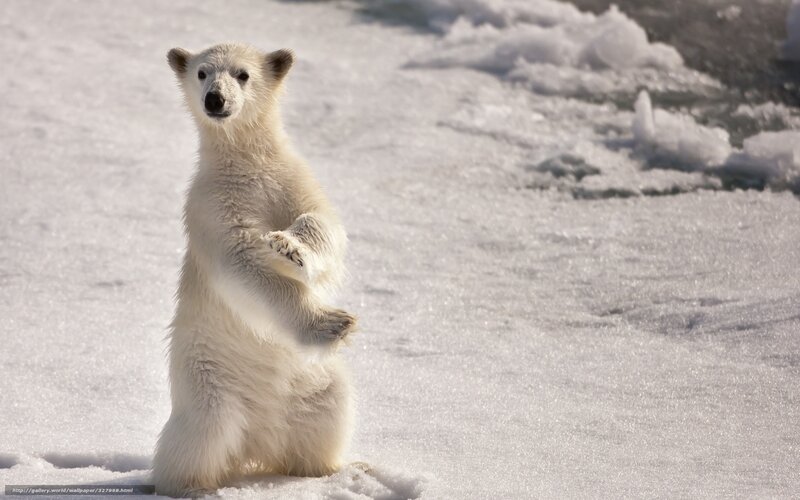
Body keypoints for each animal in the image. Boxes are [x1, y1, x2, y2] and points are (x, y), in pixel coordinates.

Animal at [152, 43, 358, 497]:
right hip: (208, 380)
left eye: (243, 74)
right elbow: (243, 263)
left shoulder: (291, 179)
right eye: (202, 72)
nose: (215, 99)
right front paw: (332, 323)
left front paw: (290, 247)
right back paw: (187, 485)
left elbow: (323, 223)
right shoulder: (212, 205)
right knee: (200, 437)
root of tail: (258, 442)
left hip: (315, 383)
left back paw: (327, 471)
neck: (245, 163)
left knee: (326, 417)